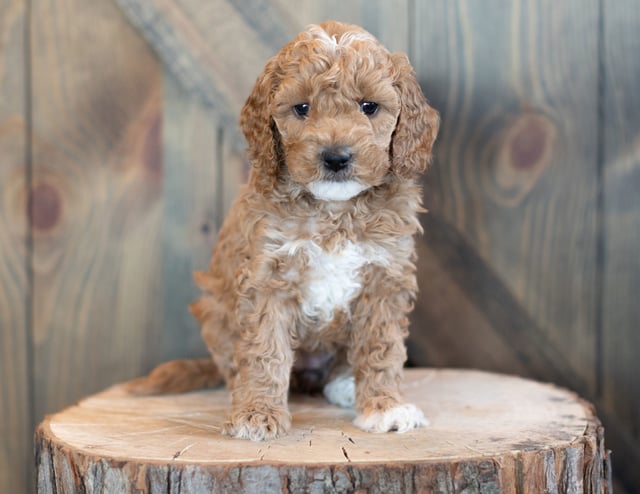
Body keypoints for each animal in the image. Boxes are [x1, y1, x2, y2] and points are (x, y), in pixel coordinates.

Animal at [130, 21, 440, 442]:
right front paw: (257, 412)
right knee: (234, 363)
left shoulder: (384, 278)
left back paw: (344, 384)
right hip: (214, 309)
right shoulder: (266, 278)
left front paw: (385, 407)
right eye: (302, 108)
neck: (334, 211)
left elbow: (381, 347)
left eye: (369, 107)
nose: (336, 157)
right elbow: (265, 350)